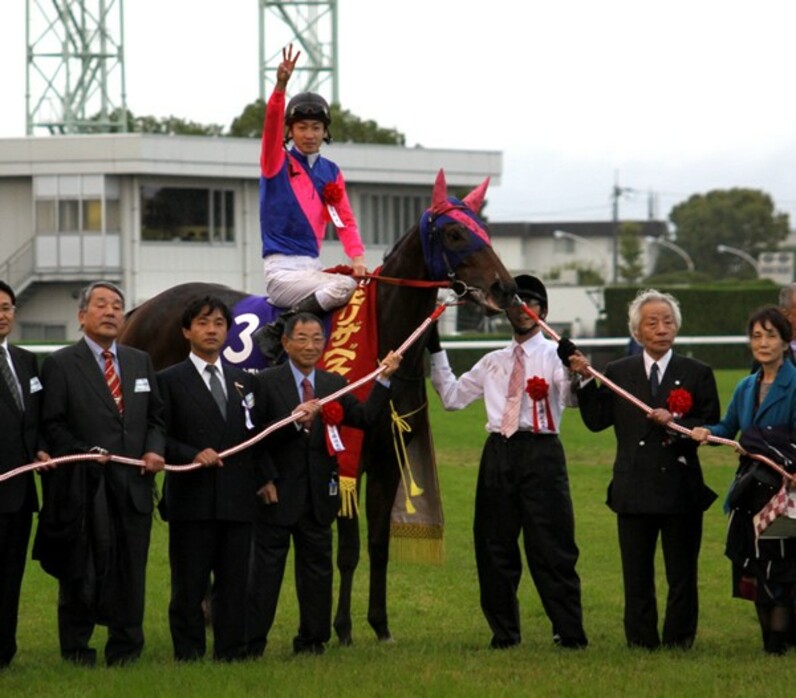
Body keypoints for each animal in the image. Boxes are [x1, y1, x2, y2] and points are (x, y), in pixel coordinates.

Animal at [119, 167, 516, 640]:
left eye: (484, 231)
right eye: (455, 233)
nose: (506, 287)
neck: (380, 332)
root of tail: (140, 311)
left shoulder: (386, 459)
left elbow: (377, 544)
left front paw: (380, 625)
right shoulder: (344, 456)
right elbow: (348, 548)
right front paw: (341, 627)